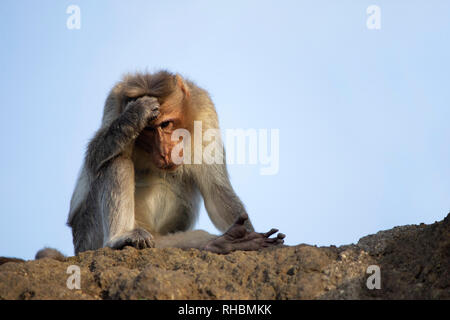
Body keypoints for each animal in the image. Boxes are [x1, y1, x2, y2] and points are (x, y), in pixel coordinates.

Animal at [62, 70, 284, 255]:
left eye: (166, 124)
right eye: (147, 130)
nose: (164, 153)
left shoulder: (205, 110)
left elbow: (216, 191)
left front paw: (247, 235)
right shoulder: (113, 102)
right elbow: (93, 158)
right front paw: (134, 115)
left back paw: (222, 243)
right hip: (87, 237)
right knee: (116, 161)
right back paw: (120, 237)